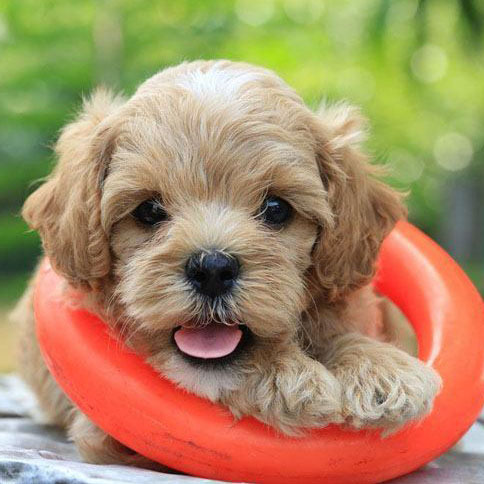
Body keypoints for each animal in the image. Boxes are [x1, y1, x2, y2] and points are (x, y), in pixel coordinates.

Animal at [12, 59, 442, 466]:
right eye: (148, 210)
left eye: (276, 209)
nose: (213, 269)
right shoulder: (110, 429)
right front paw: (285, 374)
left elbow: (342, 331)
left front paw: (381, 369)